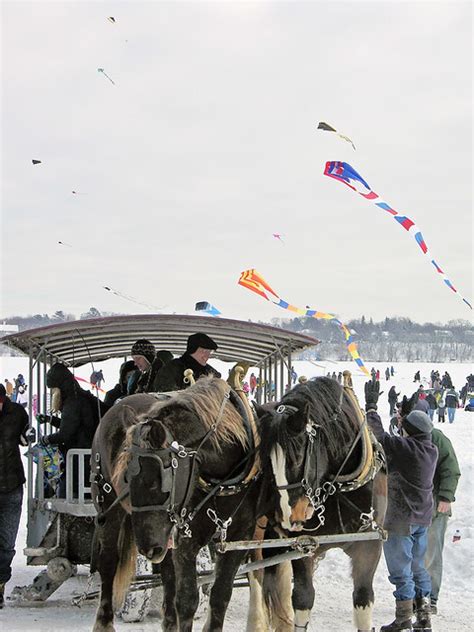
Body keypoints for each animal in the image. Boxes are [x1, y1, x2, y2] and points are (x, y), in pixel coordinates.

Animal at [89, 376, 292, 632]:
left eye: (160, 479)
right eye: (125, 477)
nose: (147, 548)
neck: (219, 477)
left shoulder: (237, 535)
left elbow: (220, 595)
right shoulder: (188, 536)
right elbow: (187, 599)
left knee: (166, 570)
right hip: (110, 508)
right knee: (108, 562)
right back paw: (103, 621)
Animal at [258, 376, 386, 632]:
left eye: (297, 458)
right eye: (267, 462)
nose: (289, 517)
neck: (337, 484)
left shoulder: (369, 543)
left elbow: (363, 599)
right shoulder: (303, 546)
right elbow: (303, 598)